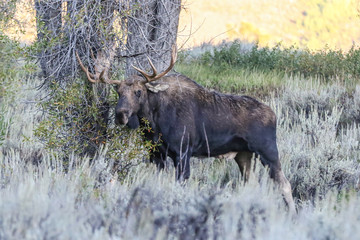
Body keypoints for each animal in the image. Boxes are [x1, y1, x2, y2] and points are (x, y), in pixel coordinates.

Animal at [75, 46, 296, 212]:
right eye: (118, 91)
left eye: (138, 91)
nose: (120, 114)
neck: (154, 123)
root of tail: (273, 114)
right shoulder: (156, 154)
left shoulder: (183, 151)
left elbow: (180, 184)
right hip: (243, 155)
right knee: (251, 183)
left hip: (267, 151)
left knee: (284, 184)